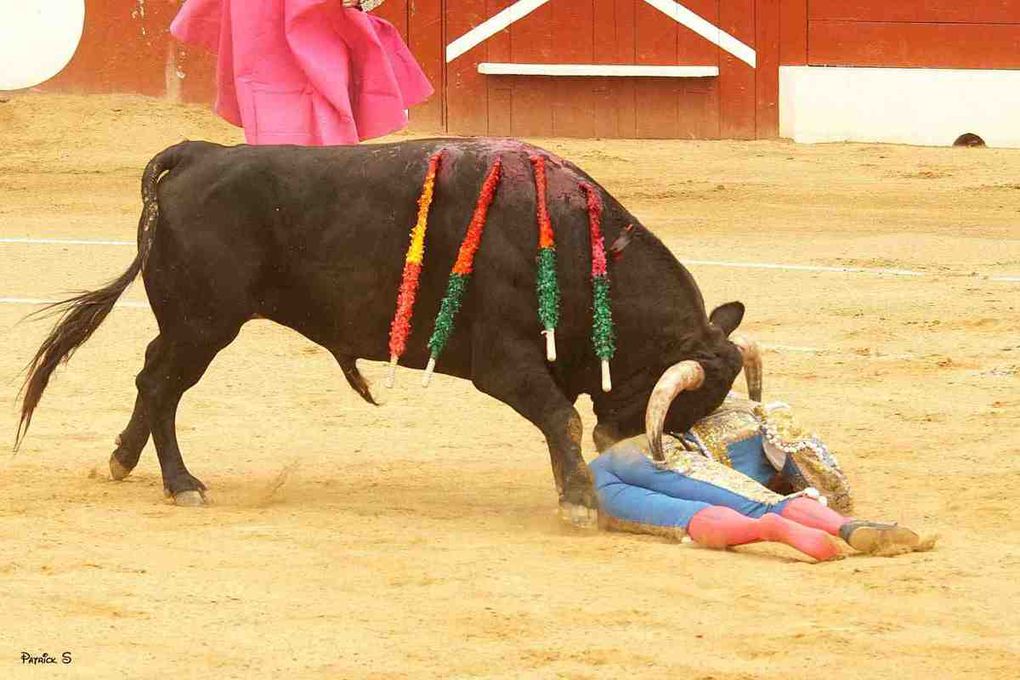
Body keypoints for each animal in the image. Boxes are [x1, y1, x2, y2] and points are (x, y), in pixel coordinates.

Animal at [15, 138, 750, 521]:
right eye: (677, 402)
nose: (637, 455)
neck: (579, 247)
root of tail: (201, 154)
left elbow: (558, 422)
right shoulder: (504, 363)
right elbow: (560, 419)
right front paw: (580, 502)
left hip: (188, 325)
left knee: (150, 377)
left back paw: (123, 460)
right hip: (204, 324)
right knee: (164, 388)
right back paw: (182, 484)